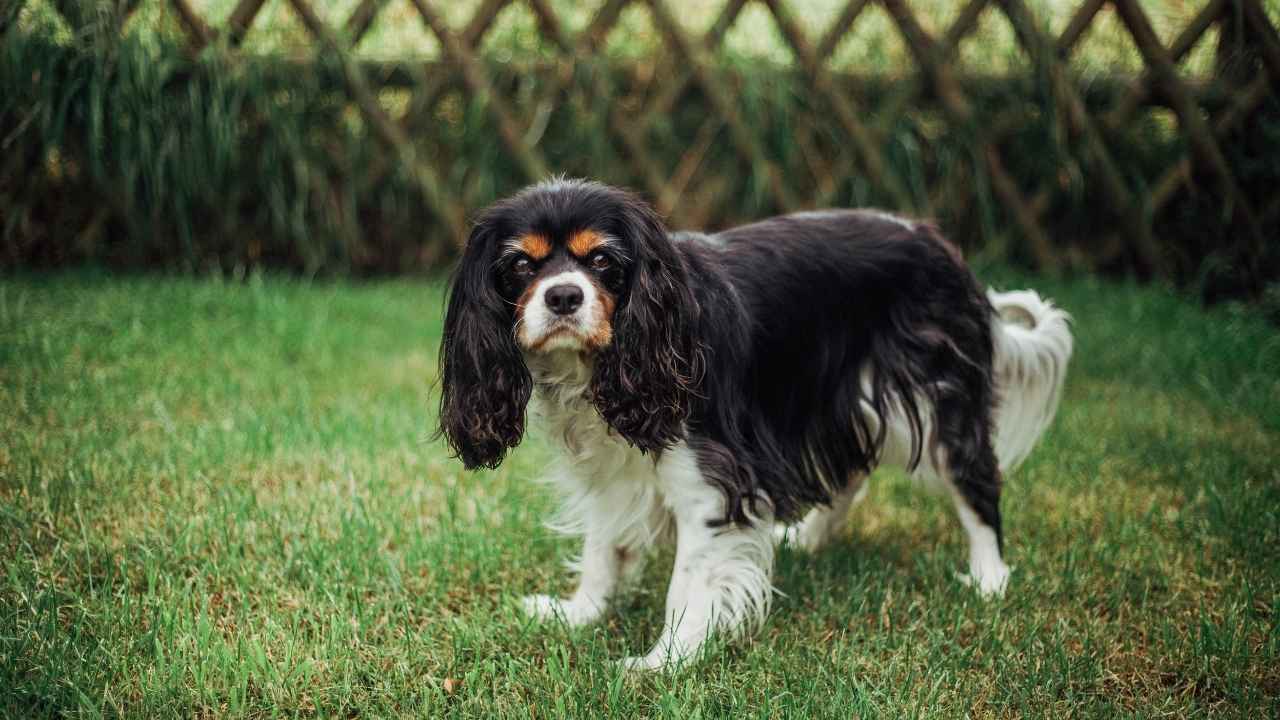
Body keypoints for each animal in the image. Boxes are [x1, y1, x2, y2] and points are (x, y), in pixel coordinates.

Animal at [437, 178, 1070, 666]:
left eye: (602, 262)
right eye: (521, 265)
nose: (564, 296)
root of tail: (937, 242)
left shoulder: (710, 481)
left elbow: (686, 585)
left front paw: (663, 661)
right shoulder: (615, 470)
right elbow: (603, 548)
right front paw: (579, 614)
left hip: (938, 398)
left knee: (975, 483)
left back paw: (989, 579)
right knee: (851, 471)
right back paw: (809, 538)